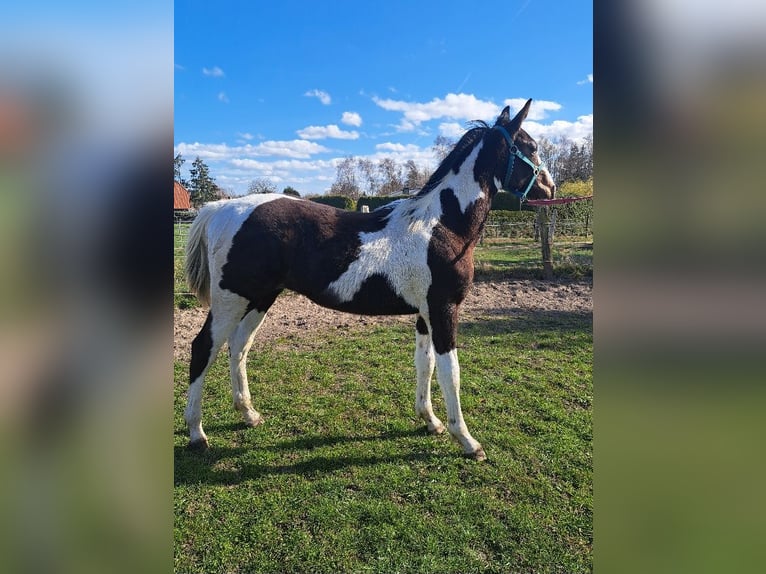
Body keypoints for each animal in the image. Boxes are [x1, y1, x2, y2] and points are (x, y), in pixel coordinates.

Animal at [183, 99, 555, 460]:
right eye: (532, 147)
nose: (550, 187)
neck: (441, 225)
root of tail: (219, 209)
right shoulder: (444, 309)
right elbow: (451, 373)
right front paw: (467, 440)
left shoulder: (424, 314)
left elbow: (424, 363)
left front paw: (430, 421)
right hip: (232, 299)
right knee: (204, 347)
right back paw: (197, 434)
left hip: (261, 298)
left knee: (239, 346)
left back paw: (248, 414)